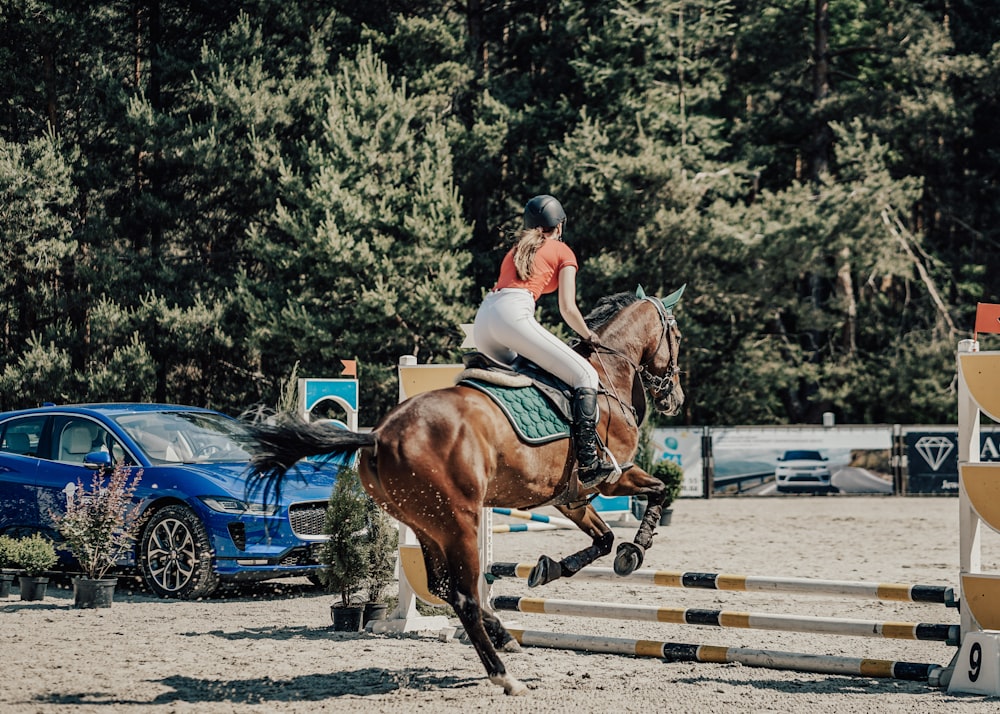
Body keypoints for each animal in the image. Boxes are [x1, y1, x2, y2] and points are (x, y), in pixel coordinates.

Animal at [244, 286, 680, 692]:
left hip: (427, 524)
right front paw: (635, 551)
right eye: (675, 334)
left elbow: (603, 538)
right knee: (464, 595)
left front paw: (551, 568)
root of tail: (379, 436)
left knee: (443, 587)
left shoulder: (569, 497)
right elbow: (658, 492)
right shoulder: (612, 475)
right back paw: (503, 674)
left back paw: (503, 636)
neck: (607, 374)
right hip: (460, 523)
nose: (675, 398)